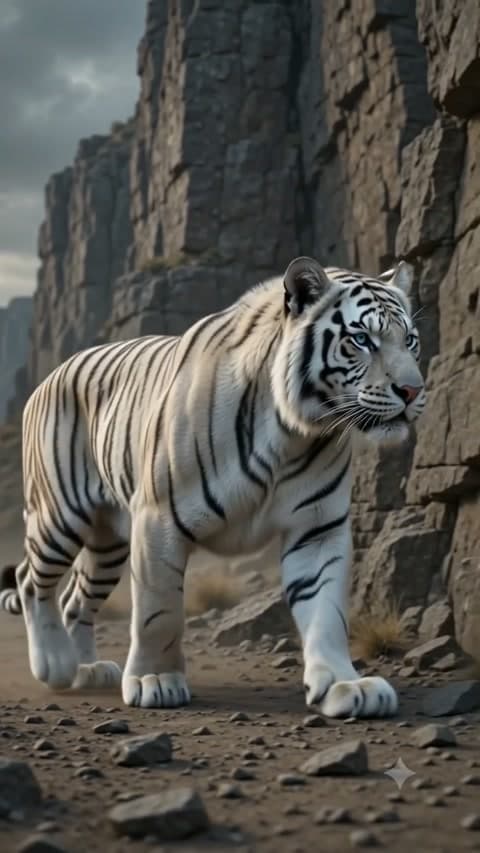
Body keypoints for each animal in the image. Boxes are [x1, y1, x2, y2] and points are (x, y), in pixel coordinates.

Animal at [0, 256, 425, 717]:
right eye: (362, 339)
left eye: (411, 340)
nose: (412, 390)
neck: (295, 433)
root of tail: (51, 374)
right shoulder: (158, 520)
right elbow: (159, 610)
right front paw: (155, 680)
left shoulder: (317, 528)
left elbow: (326, 612)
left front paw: (344, 685)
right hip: (59, 515)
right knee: (30, 580)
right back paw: (55, 665)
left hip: (107, 541)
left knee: (74, 599)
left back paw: (86, 670)